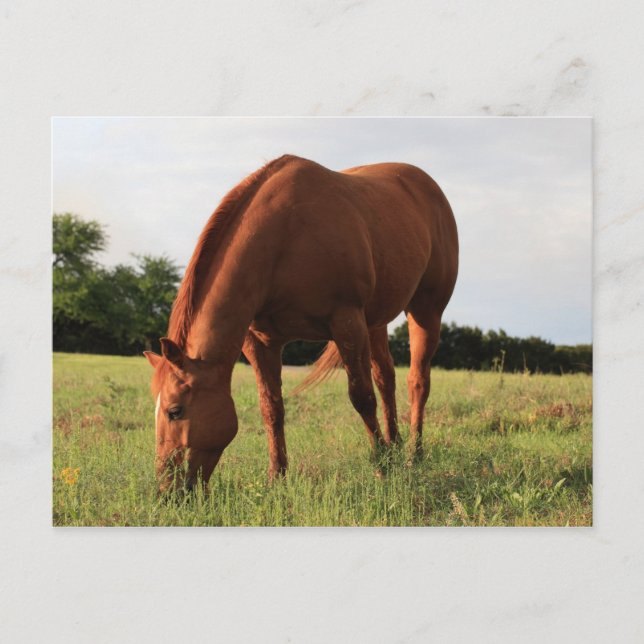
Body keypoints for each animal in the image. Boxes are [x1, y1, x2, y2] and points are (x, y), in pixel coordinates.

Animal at [144, 154, 458, 493]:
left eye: (175, 411)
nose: (166, 491)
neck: (284, 240)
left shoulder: (347, 322)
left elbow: (361, 396)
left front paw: (380, 467)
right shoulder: (261, 342)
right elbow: (271, 408)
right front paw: (276, 476)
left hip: (425, 311)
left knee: (418, 381)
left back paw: (414, 454)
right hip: (377, 321)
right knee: (386, 378)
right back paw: (396, 446)